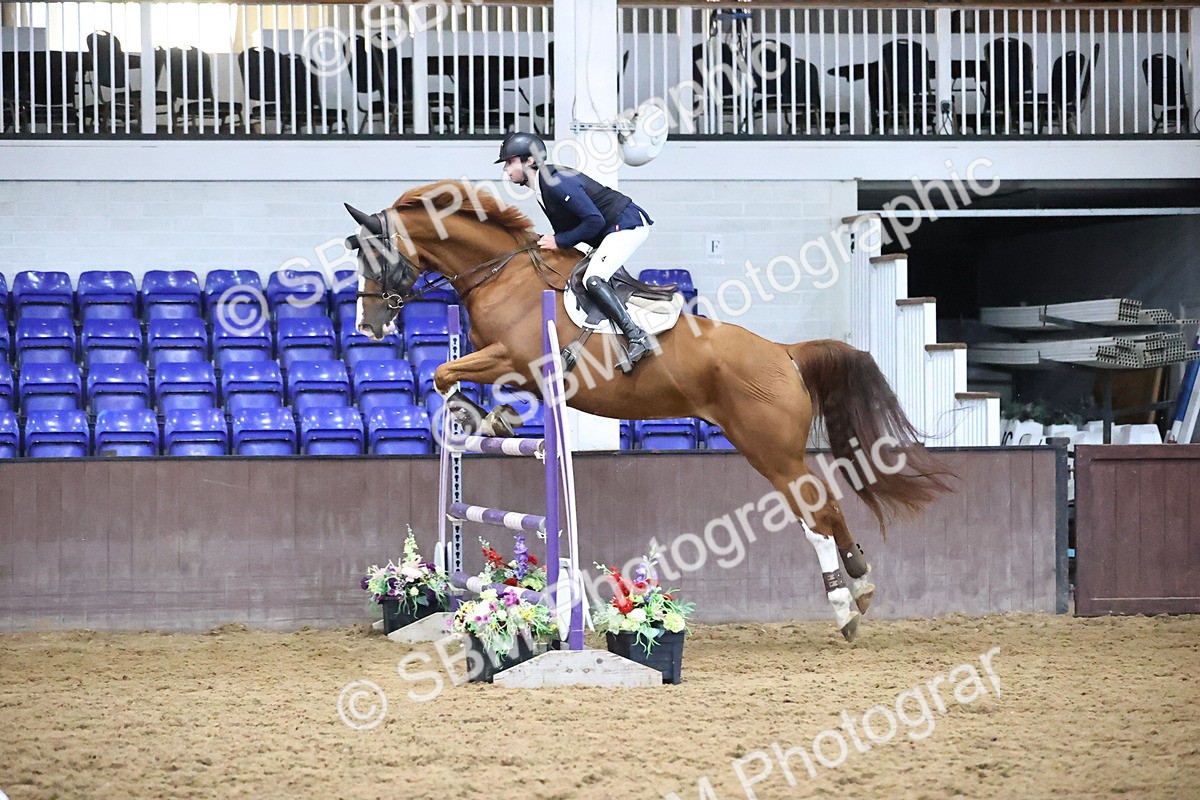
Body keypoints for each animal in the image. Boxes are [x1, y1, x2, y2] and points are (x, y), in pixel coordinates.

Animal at [345, 180, 951, 641]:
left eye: (376, 256)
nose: (367, 327)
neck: (503, 272)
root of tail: (784, 353)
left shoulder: (517, 358)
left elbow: (447, 374)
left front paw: (471, 414)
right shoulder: (519, 368)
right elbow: (473, 383)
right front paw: (491, 419)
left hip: (770, 450)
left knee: (815, 514)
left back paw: (845, 605)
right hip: (771, 449)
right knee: (827, 505)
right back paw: (860, 585)